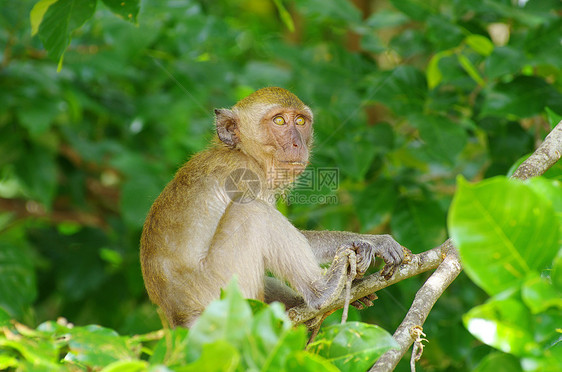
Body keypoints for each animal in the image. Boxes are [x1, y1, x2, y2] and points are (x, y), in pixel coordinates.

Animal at [139, 85, 402, 326]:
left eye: (300, 121)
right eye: (279, 120)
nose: (297, 144)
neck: (244, 152)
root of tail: (181, 321)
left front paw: (368, 242)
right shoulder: (248, 176)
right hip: (223, 291)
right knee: (253, 212)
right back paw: (322, 292)